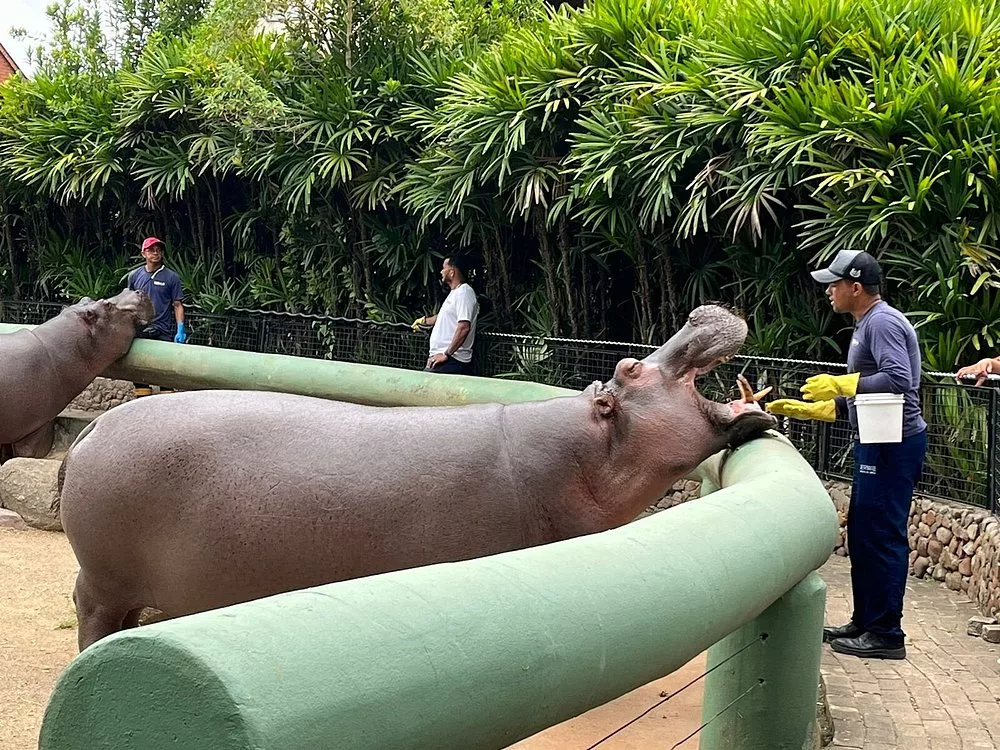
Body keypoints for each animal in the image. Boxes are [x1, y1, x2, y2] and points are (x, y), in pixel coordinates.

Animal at [54, 306, 776, 652]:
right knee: (91, 612)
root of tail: (93, 431)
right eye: (630, 369)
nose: (698, 314)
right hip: (105, 577)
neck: (584, 452)